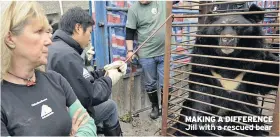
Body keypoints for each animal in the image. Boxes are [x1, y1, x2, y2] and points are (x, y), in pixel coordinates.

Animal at [176, 3, 278, 136]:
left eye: (237, 28)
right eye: (219, 28)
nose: (227, 40)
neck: (228, 59)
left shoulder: (255, 64)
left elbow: (270, 73)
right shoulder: (204, 61)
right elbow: (201, 85)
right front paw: (203, 119)